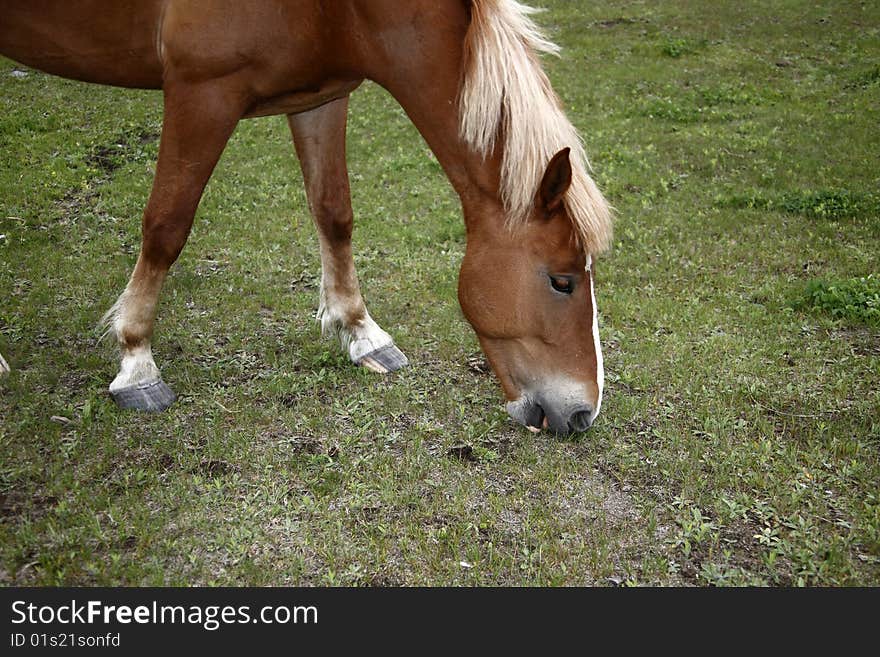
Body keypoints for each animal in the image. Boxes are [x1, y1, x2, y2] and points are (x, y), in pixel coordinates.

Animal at [1, 1, 612, 436]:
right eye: (561, 281)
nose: (584, 414)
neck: (334, 8)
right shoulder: (201, 92)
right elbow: (166, 226)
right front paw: (136, 361)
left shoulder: (321, 97)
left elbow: (334, 212)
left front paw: (361, 332)